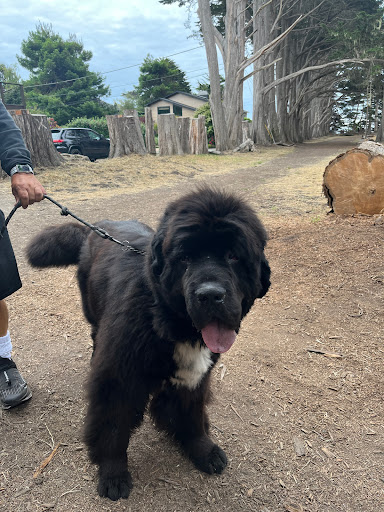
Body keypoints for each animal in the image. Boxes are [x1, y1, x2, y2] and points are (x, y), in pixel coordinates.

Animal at [26, 187, 270, 500]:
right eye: (185, 258)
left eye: (233, 256)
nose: (210, 295)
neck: (168, 321)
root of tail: (96, 226)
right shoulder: (119, 379)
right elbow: (113, 427)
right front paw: (113, 473)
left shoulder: (194, 378)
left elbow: (192, 415)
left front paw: (202, 448)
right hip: (93, 312)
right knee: (95, 336)